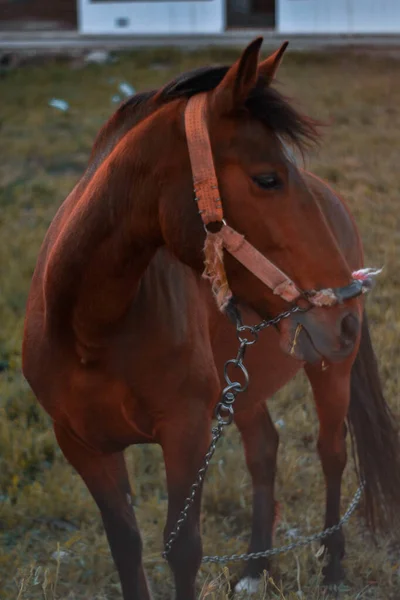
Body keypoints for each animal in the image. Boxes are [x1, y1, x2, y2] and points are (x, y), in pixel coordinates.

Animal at [21, 39, 400, 596]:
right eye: (268, 179)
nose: (346, 316)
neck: (90, 329)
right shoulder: (81, 445)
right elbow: (126, 546)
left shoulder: (187, 434)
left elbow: (182, 549)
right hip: (244, 381)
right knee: (264, 448)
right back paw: (254, 568)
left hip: (330, 370)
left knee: (331, 451)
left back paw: (331, 566)